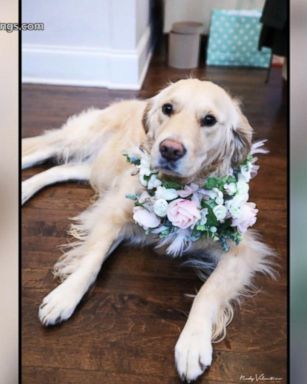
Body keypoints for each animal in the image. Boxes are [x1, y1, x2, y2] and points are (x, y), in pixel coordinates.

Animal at [22, 79, 276, 382]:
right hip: (81, 139)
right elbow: (91, 261)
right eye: (168, 108)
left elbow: (208, 291)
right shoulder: (115, 214)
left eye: (209, 120)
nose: (170, 149)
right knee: (39, 148)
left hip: (100, 168)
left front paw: (192, 343)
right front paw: (64, 296)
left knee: (60, 169)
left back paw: (24, 189)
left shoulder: (241, 249)